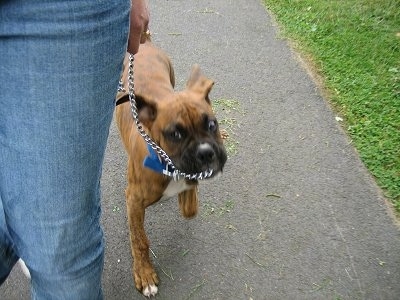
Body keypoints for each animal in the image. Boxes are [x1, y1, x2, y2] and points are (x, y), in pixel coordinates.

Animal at [115, 38, 228, 298]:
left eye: (212, 124)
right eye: (175, 134)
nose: (206, 152)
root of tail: (143, 43)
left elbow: (189, 209)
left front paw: (186, 195)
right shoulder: (133, 200)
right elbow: (140, 240)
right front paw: (145, 274)